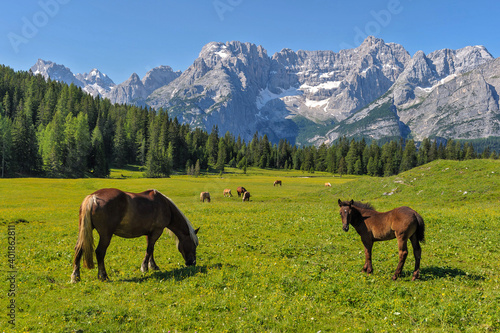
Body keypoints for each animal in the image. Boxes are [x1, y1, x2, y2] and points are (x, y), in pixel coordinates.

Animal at [70, 188, 199, 282]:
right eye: (194, 245)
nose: (192, 263)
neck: (165, 206)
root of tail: (93, 197)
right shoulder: (157, 231)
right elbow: (149, 249)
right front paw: (144, 267)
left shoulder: (150, 233)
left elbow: (151, 249)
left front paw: (153, 266)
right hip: (106, 235)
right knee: (100, 252)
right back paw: (103, 276)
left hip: (84, 231)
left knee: (79, 249)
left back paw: (75, 277)